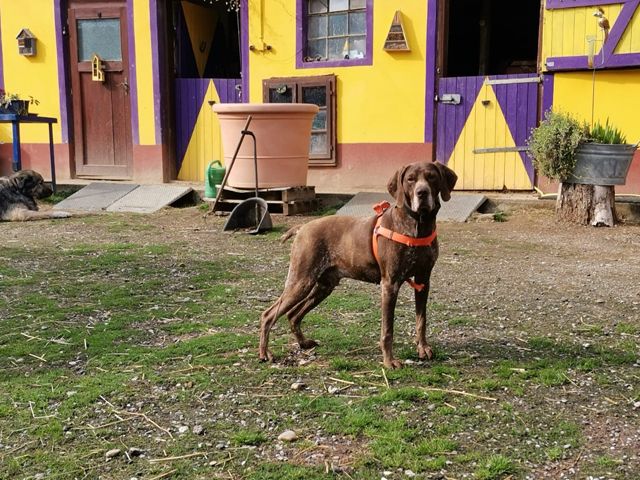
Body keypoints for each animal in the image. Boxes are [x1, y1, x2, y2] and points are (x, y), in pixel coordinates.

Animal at [258, 161, 458, 368]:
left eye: (431, 177)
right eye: (410, 179)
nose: (422, 193)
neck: (418, 226)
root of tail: (302, 228)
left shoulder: (423, 281)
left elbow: (421, 320)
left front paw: (423, 348)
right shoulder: (390, 284)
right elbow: (388, 330)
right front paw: (389, 361)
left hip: (323, 286)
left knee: (293, 315)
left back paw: (303, 343)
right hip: (300, 281)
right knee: (268, 315)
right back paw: (265, 353)